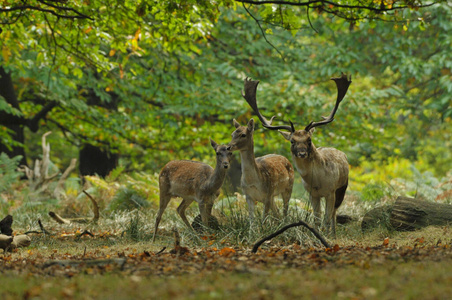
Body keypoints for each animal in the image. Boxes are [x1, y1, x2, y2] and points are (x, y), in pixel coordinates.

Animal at [244, 73, 354, 237]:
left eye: (309, 140)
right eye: (292, 141)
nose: (302, 153)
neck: (318, 181)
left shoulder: (331, 190)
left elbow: (327, 217)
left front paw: (326, 235)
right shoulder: (312, 193)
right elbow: (317, 218)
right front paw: (317, 234)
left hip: (342, 186)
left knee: (334, 212)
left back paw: (333, 233)